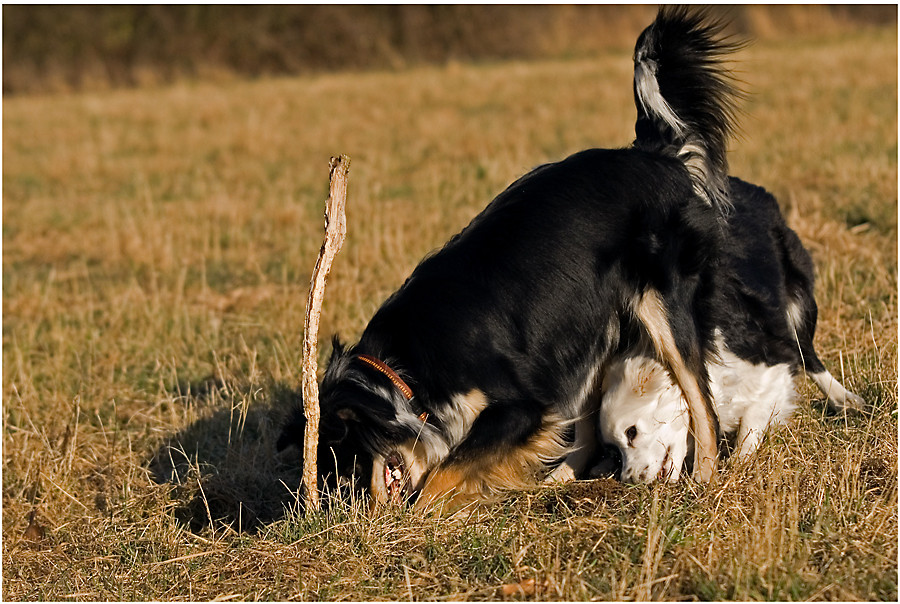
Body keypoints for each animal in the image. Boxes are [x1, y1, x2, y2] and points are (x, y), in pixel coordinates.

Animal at [278, 8, 740, 510]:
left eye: (348, 470)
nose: (360, 518)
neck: (403, 370)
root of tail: (654, 155)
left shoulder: (521, 406)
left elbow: (442, 473)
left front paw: (425, 512)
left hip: (664, 307)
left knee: (703, 404)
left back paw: (705, 482)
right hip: (589, 328)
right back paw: (562, 480)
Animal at [592, 177, 864, 484]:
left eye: (632, 433)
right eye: (615, 453)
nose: (630, 480)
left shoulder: (773, 363)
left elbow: (752, 421)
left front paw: (738, 465)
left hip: (799, 298)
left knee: (809, 354)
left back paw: (843, 397)